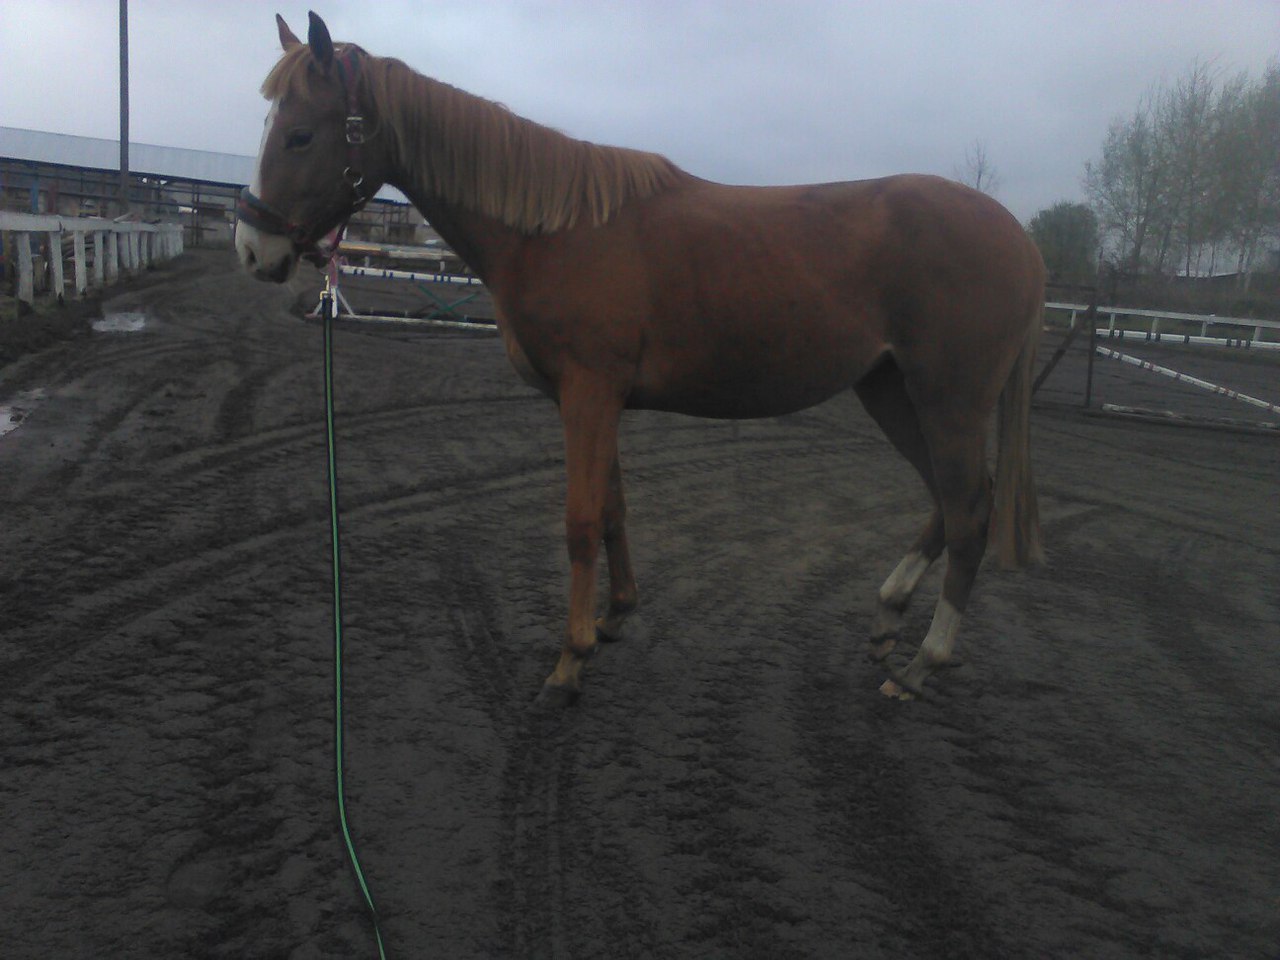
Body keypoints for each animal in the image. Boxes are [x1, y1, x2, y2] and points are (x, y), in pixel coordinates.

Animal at [236, 12, 1044, 706]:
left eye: (301, 135)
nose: (254, 250)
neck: (552, 231)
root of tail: (1017, 238)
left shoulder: (589, 394)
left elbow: (580, 521)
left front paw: (569, 662)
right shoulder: (601, 399)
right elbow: (615, 510)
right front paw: (615, 617)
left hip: (947, 400)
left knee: (968, 512)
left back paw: (921, 664)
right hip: (890, 391)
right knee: (953, 500)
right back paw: (887, 616)